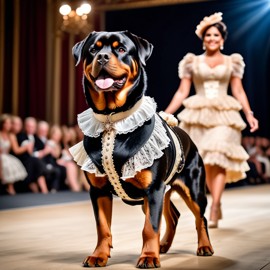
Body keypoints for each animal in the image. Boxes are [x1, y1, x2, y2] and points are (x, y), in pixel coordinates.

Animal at [70, 31, 214, 268]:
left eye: (121, 49)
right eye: (93, 49)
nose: (102, 57)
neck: (112, 120)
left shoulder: (153, 189)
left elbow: (150, 227)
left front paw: (148, 257)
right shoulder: (99, 191)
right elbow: (103, 227)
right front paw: (99, 255)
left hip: (192, 188)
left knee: (199, 216)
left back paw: (204, 247)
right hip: (163, 191)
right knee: (174, 215)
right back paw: (164, 245)